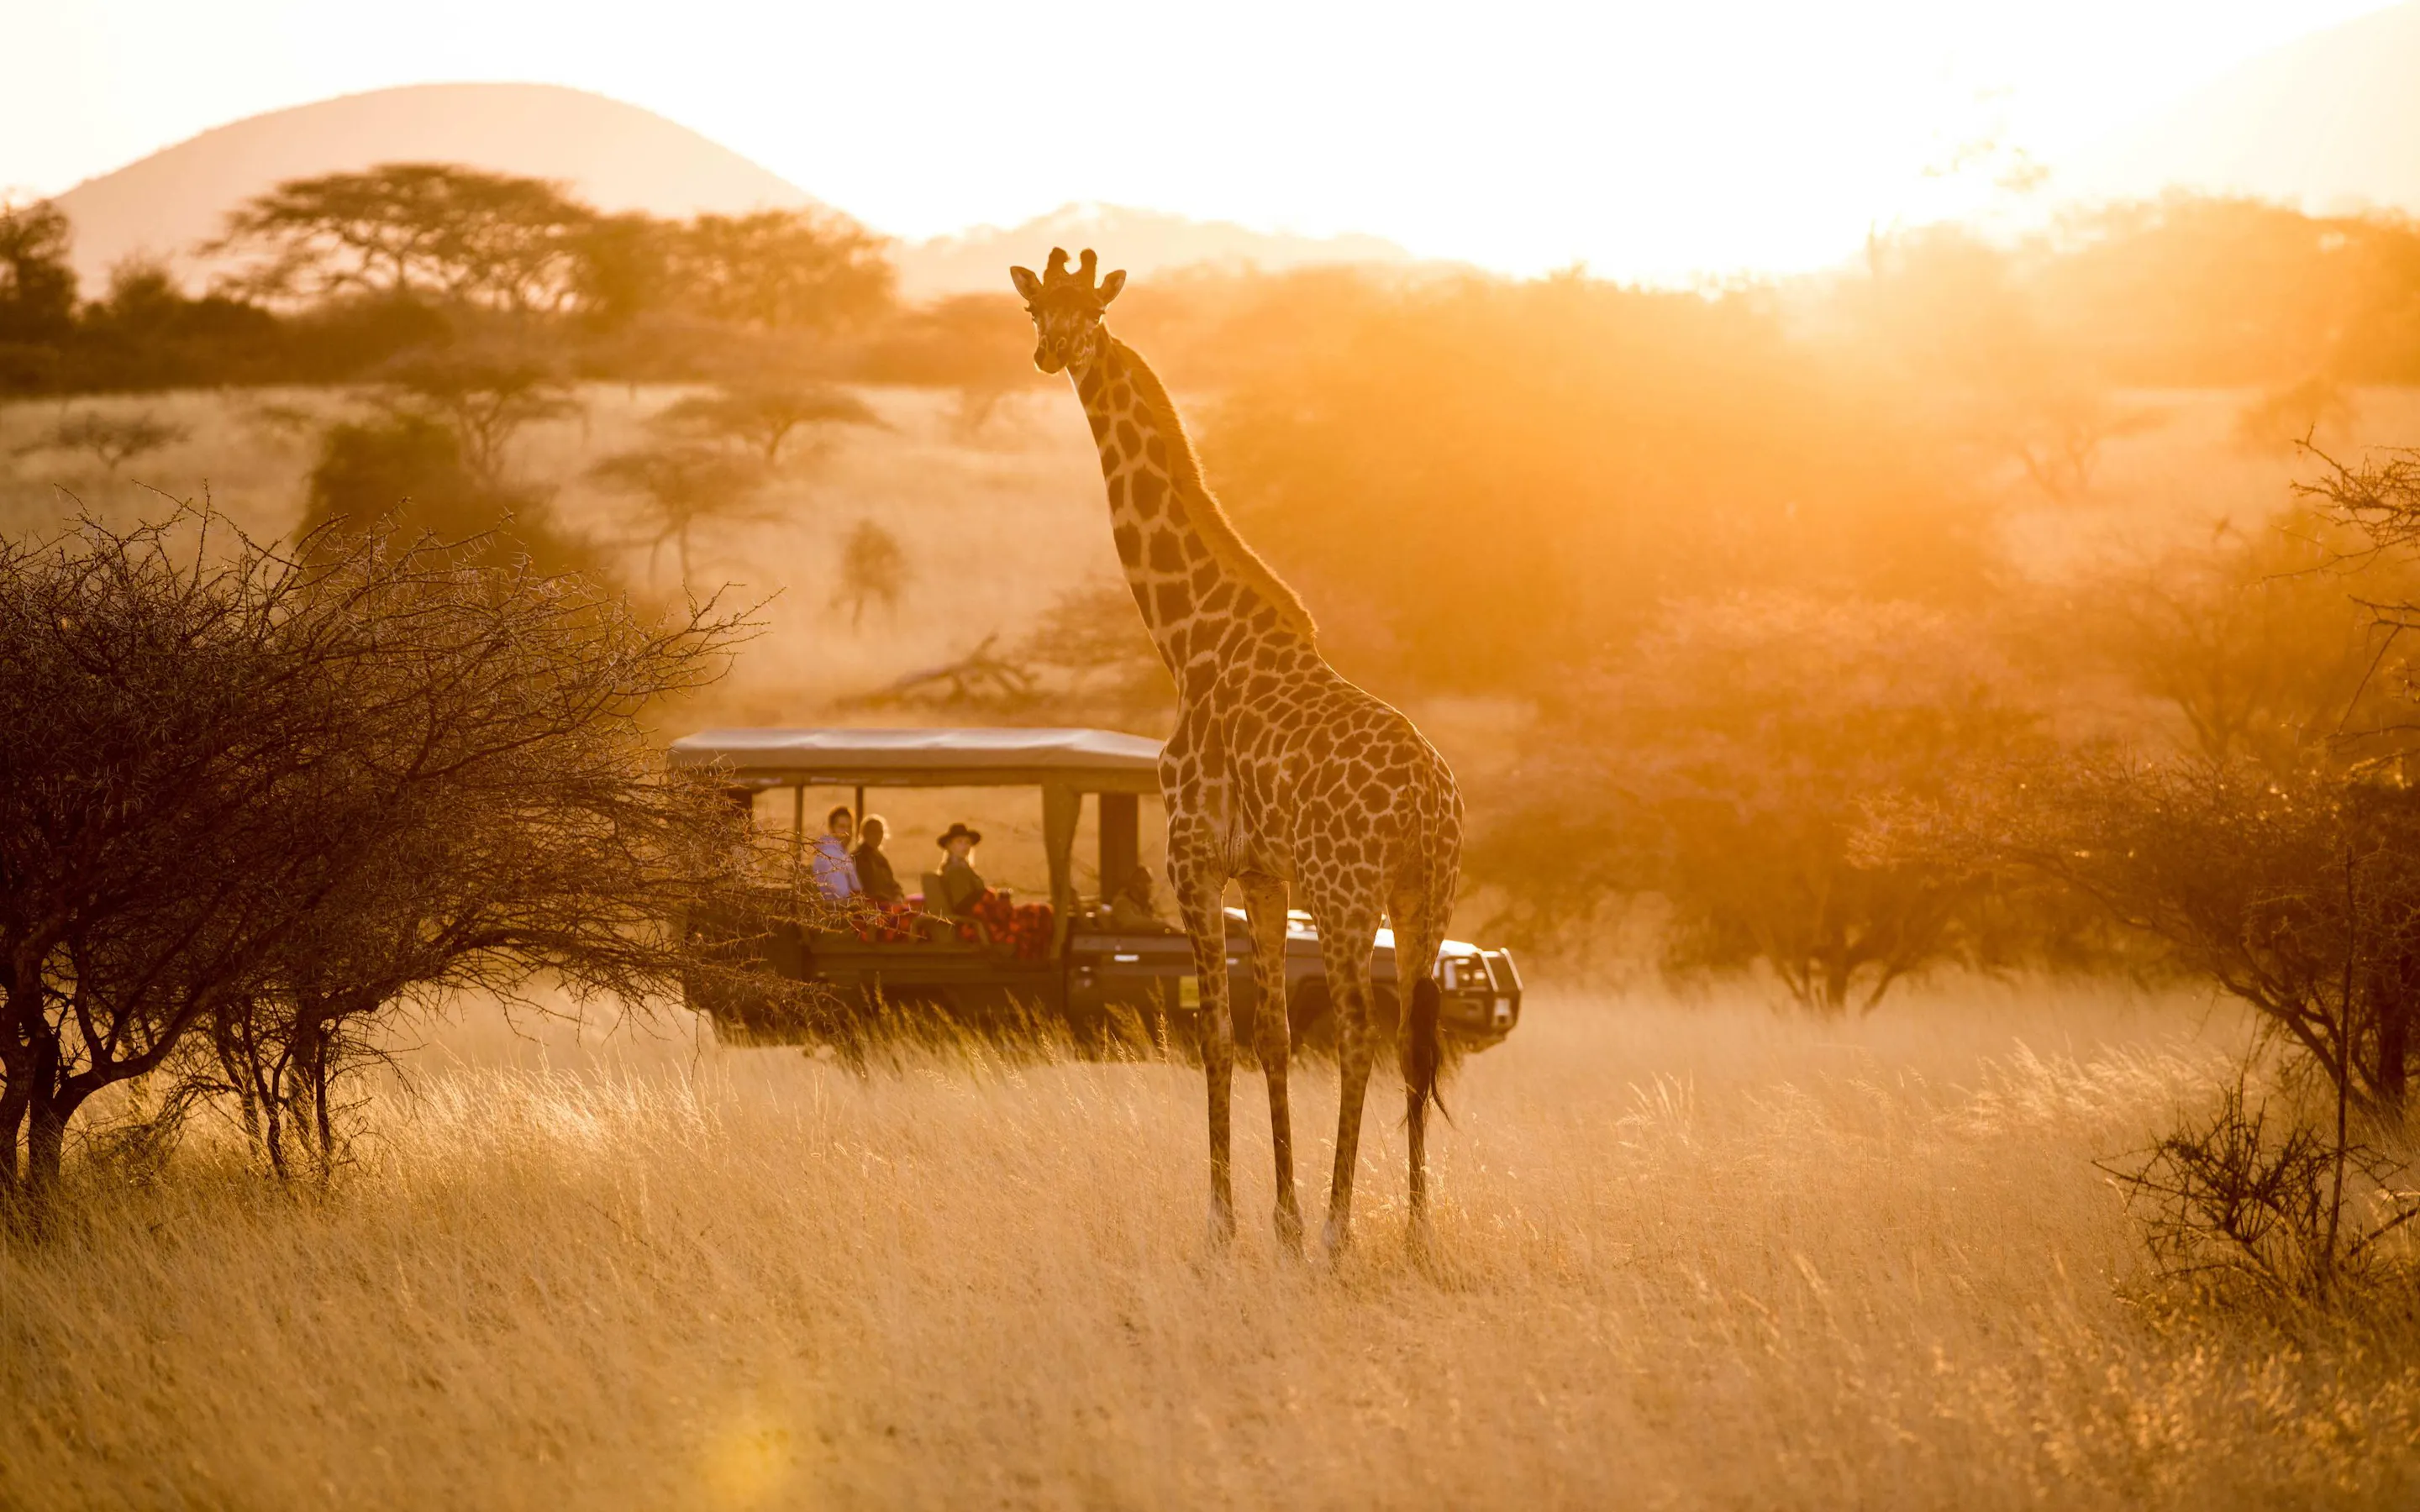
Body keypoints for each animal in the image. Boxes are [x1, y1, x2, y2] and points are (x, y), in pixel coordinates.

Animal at [1012, 248, 1465, 1254]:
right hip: (1428, 895)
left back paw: (1343, 1229)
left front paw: (1225, 1225)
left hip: (1347, 893)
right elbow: (1271, 1037)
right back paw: (1416, 1231)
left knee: (1363, 1035)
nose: (1052, 352)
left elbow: (1218, 1035)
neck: (1190, 642)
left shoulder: (1193, 857)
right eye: (1033, 306)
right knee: (1415, 1042)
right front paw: (1280, 1221)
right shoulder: (1262, 874)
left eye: (1093, 310)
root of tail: (1429, 798)